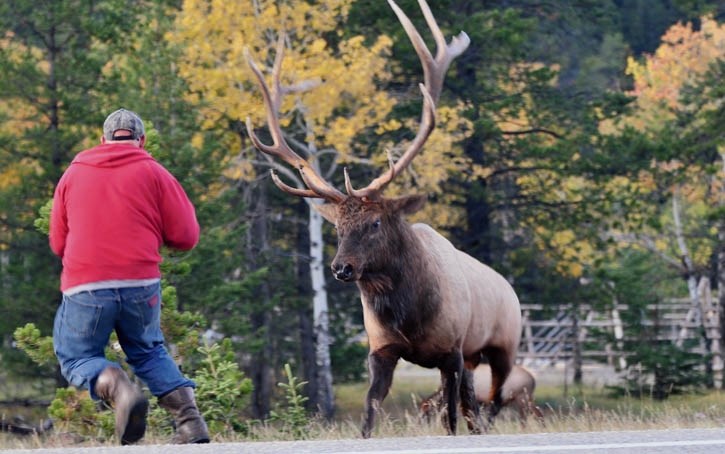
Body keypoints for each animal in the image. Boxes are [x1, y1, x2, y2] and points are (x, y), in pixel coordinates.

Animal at [245, 0, 522, 438]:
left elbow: (450, 418)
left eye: (375, 223)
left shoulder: (453, 350)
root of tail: (511, 290)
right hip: (476, 358)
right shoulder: (382, 349)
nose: (341, 267)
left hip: (503, 347)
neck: (409, 315)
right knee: (476, 405)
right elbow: (371, 409)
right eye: (337, 227)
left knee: (491, 403)